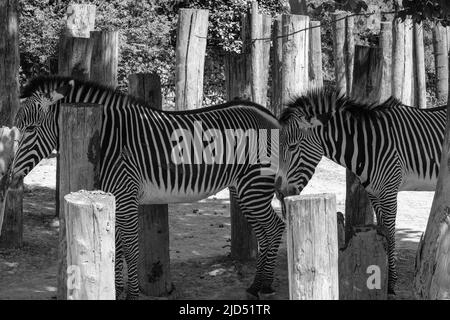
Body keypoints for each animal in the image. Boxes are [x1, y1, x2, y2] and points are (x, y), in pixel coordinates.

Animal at [0, 75, 284, 300]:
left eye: (31, 128)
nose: (9, 178)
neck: (108, 138)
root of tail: (267, 114)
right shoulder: (113, 198)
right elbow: (114, 248)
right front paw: (115, 291)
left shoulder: (126, 196)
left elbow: (130, 248)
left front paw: (132, 296)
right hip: (244, 189)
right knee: (265, 233)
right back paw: (256, 284)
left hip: (254, 185)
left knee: (275, 227)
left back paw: (266, 286)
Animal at [272, 87, 444, 292]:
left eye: (292, 147)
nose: (279, 193)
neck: (368, 145)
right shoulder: (374, 193)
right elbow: (382, 230)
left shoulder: (389, 192)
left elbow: (391, 234)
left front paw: (391, 284)